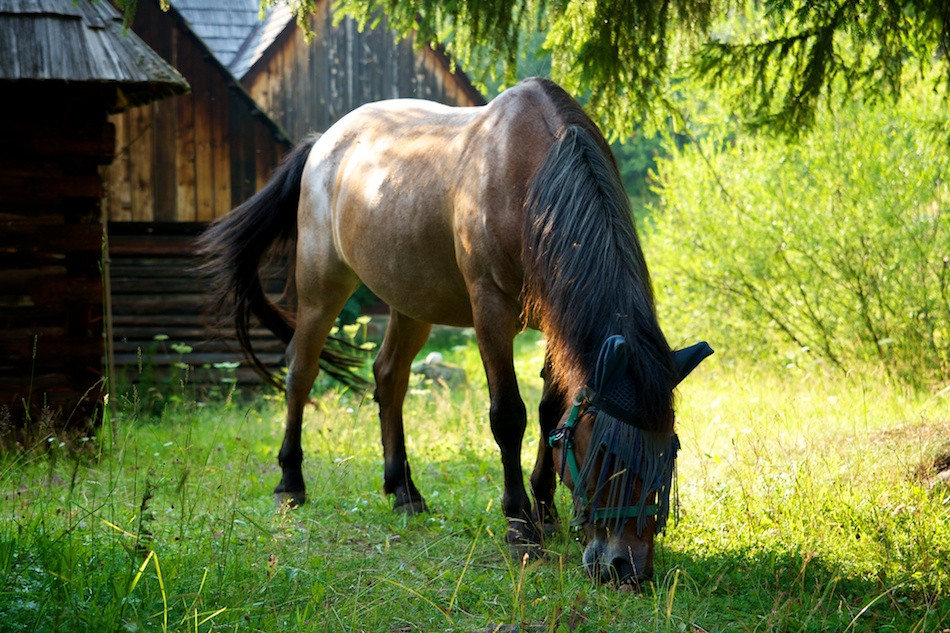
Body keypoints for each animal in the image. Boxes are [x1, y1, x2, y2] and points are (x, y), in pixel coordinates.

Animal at [199, 77, 711, 587]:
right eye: (604, 454)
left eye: (666, 458)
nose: (627, 567)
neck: (533, 178)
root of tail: (323, 142)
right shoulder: (491, 312)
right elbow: (509, 416)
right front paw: (521, 526)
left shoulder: (555, 320)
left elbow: (551, 413)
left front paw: (545, 510)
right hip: (321, 286)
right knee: (300, 372)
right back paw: (291, 482)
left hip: (410, 301)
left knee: (389, 377)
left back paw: (403, 491)